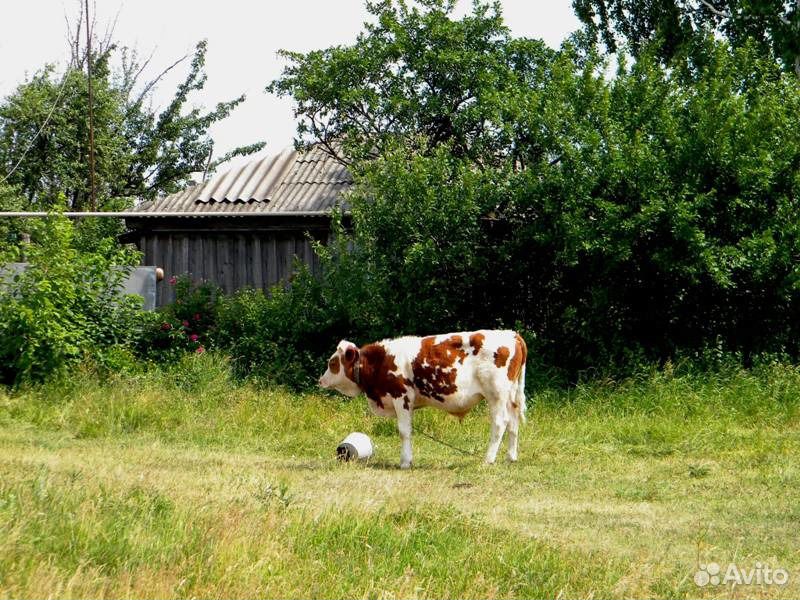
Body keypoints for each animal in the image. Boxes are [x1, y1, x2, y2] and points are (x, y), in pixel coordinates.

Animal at [316, 330, 528, 466]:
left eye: (332, 362)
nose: (320, 380)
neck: (381, 361)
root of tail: (512, 334)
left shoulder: (401, 396)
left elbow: (404, 431)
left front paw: (405, 462)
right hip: (510, 396)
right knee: (513, 423)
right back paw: (511, 457)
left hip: (496, 394)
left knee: (500, 424)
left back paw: (488, 459)